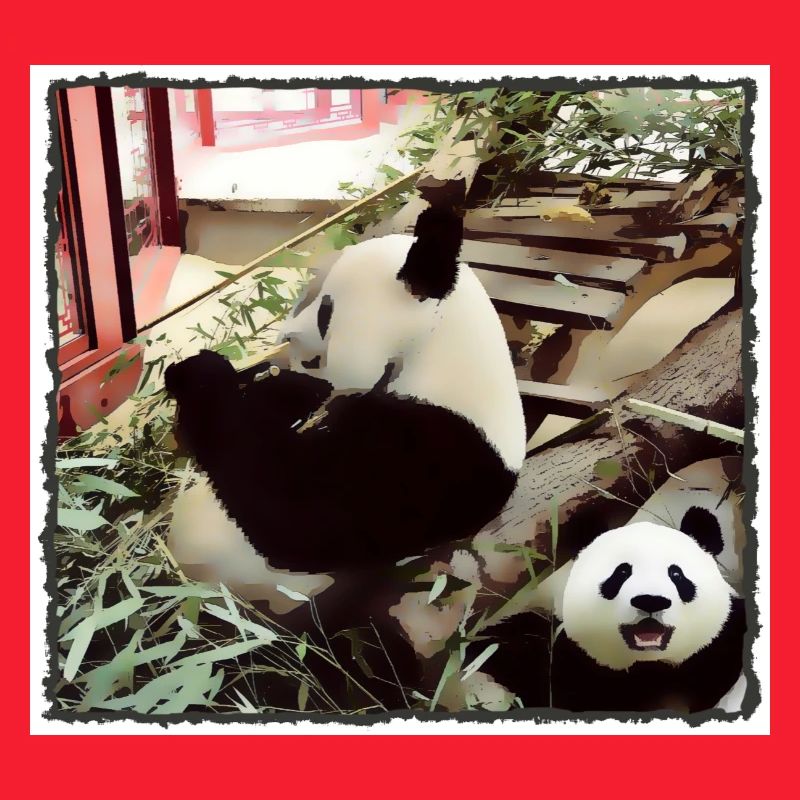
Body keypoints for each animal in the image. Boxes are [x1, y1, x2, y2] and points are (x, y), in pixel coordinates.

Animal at [483, 509, 747, 714]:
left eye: (676, 574)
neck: (649, 665)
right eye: (621, 572)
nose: (650, 601)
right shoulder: (569, 657)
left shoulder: (721, 641)